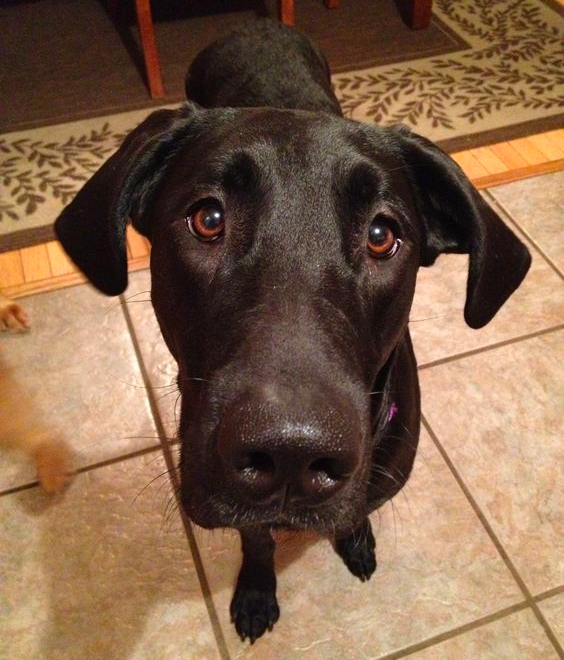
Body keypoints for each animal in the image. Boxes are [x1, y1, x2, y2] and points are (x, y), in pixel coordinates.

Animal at [53, 19, 528, 644]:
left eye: (382, 234)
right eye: (208, 218)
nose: (291, 454)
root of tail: (253, 23)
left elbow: (355, 511)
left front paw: (355, 539)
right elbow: (256, 539)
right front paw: (257, 591)